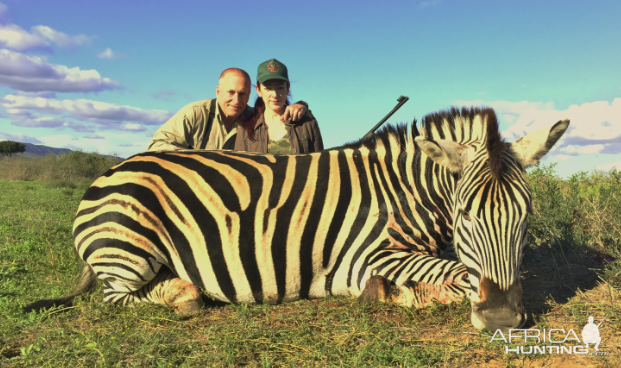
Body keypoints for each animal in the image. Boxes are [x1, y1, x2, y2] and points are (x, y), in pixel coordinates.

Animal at [24, 107, 568, 334]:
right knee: (117, 297)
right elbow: (456, 276)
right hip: (130, 249)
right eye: (465, 216)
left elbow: (462, 272)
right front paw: (394, 294)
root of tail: (111, 171)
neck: (401, 193)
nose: (501, 319)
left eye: (525, 216)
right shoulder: (367, 256)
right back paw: (183, 294)